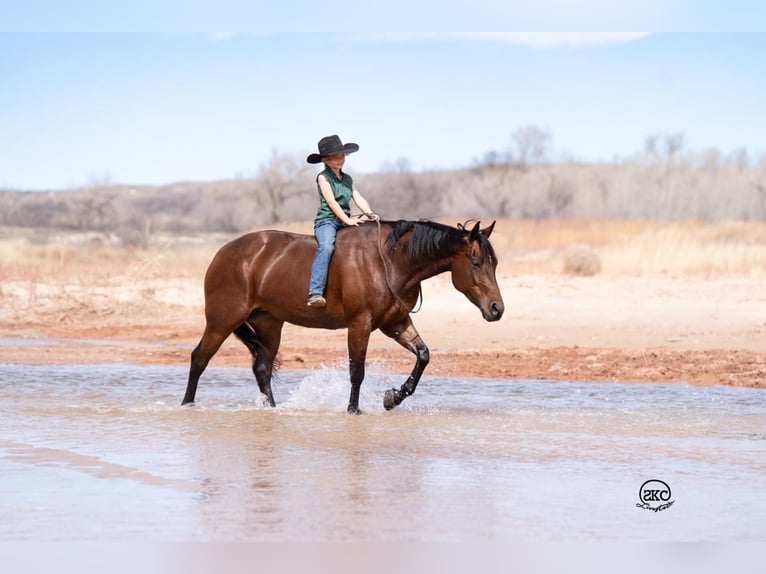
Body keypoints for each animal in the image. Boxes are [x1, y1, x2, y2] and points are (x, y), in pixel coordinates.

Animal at [183, 217, 508, 414]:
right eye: (476, 262)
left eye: (494, 262)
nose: (497, 309)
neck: (390, 262)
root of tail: (223, 253)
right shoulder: (360, 324)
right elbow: (357, 371)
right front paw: (354, 410)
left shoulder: (395, 323)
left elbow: (423, 355)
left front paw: (393, 398)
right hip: (222, 321)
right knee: (199, 358)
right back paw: (187, 405)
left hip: (269, 324)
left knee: (261, 368)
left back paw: (272, 409)